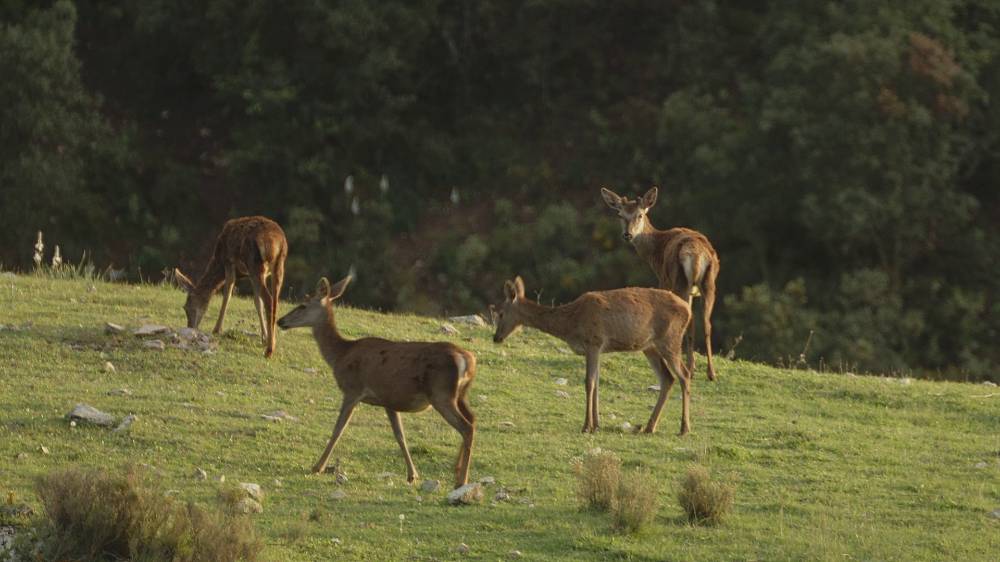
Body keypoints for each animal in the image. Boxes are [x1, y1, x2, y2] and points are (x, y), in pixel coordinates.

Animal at [172, 214, 288, 354]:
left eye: (187, 307)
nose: (190, 327)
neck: (218, 261)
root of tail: (277, 243)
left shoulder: (228, 261)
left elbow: (227, 294)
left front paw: (216, 329)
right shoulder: (255, 274)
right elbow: (257, 302)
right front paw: (264, 337)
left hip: (254, 263)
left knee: (269, 300)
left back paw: (269, 350)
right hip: (277, 267)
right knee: (275, 300)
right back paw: (272, 342)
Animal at [274, 274, 476, 486]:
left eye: (303, 305)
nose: (281, 321)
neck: (341, 354)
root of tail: (467, 359)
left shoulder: (352, 389)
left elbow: (338, 429)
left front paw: (317, 467)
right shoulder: (388, 399)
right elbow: (400, 435)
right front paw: (412, 474)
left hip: (441, 394)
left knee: (467, 427)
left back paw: (462, 479)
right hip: (459, 395)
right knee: (473, 418)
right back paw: (456, 471)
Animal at [494, 274, 696, 434]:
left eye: (501, 313)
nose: (496, 337)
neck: (570, 323)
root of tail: (689, 311)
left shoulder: (594, 341)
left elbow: (589, 383)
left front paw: (586, 426)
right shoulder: (597, 348)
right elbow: (597, 383)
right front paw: (596, 425)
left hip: (670, 339)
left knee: (684, 375)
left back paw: (684, 428)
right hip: (649, 347)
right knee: (667, 378)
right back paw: (649, 427)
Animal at [600, 187, 720, 380]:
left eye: (640, 215)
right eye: (620, 214)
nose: (628, 234)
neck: (654, 251)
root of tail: (696, 254)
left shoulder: (663, 280)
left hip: (679, 282)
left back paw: (688, 368)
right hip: (709, 282)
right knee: (706, 323)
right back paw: (710, 373)